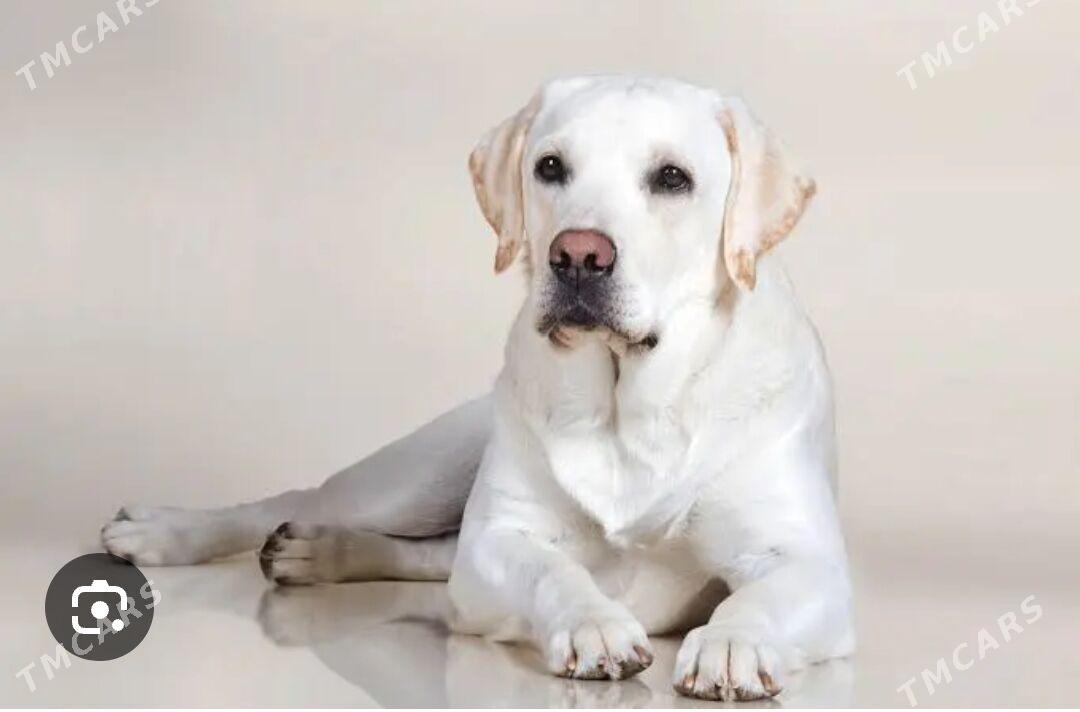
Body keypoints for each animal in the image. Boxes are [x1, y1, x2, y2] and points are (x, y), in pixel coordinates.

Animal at [102, 75, 854, 702]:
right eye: (550, 167)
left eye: (673, 178)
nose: (578, 255)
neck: (627, 405)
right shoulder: (502, 535)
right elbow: (553, 571)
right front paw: (595, 623)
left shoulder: (808, 562)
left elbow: (756, 597)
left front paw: (732, 643)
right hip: (420, 474)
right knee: (305, 502)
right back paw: (167, 532)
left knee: (428, 553)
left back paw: (317, 550)